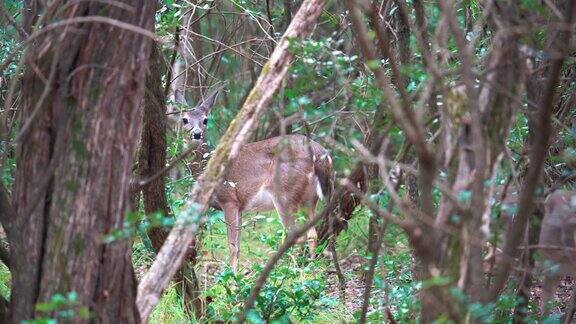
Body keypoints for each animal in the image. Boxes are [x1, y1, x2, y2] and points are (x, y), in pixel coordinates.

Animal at [178, 90, 336, 270]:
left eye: (206, 119)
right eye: (184, 119)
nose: (197, 134)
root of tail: (320, 153)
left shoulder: (229, 199)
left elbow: (232, 245)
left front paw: (231, 275)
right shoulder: (240, 206)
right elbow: (238, 246)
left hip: (285, 193)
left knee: (296, 234)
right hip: (309, 198)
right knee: (312, 234)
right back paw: (310, 270)